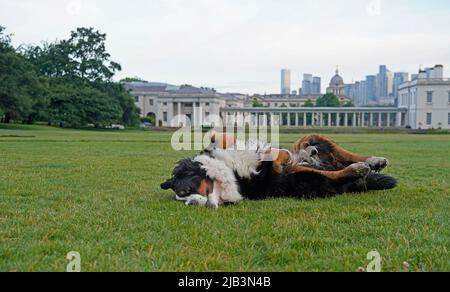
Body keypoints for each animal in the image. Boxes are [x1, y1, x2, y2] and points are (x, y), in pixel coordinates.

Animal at [162, 133, 398, 209]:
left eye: (183, 192)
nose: (192, 203)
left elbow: (219, 138)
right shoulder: (274, 177)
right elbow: (278, 159)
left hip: (309, 140)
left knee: (332, 148)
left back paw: (375, 161)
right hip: (306, 180)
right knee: (336, 172)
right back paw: (359, 169)